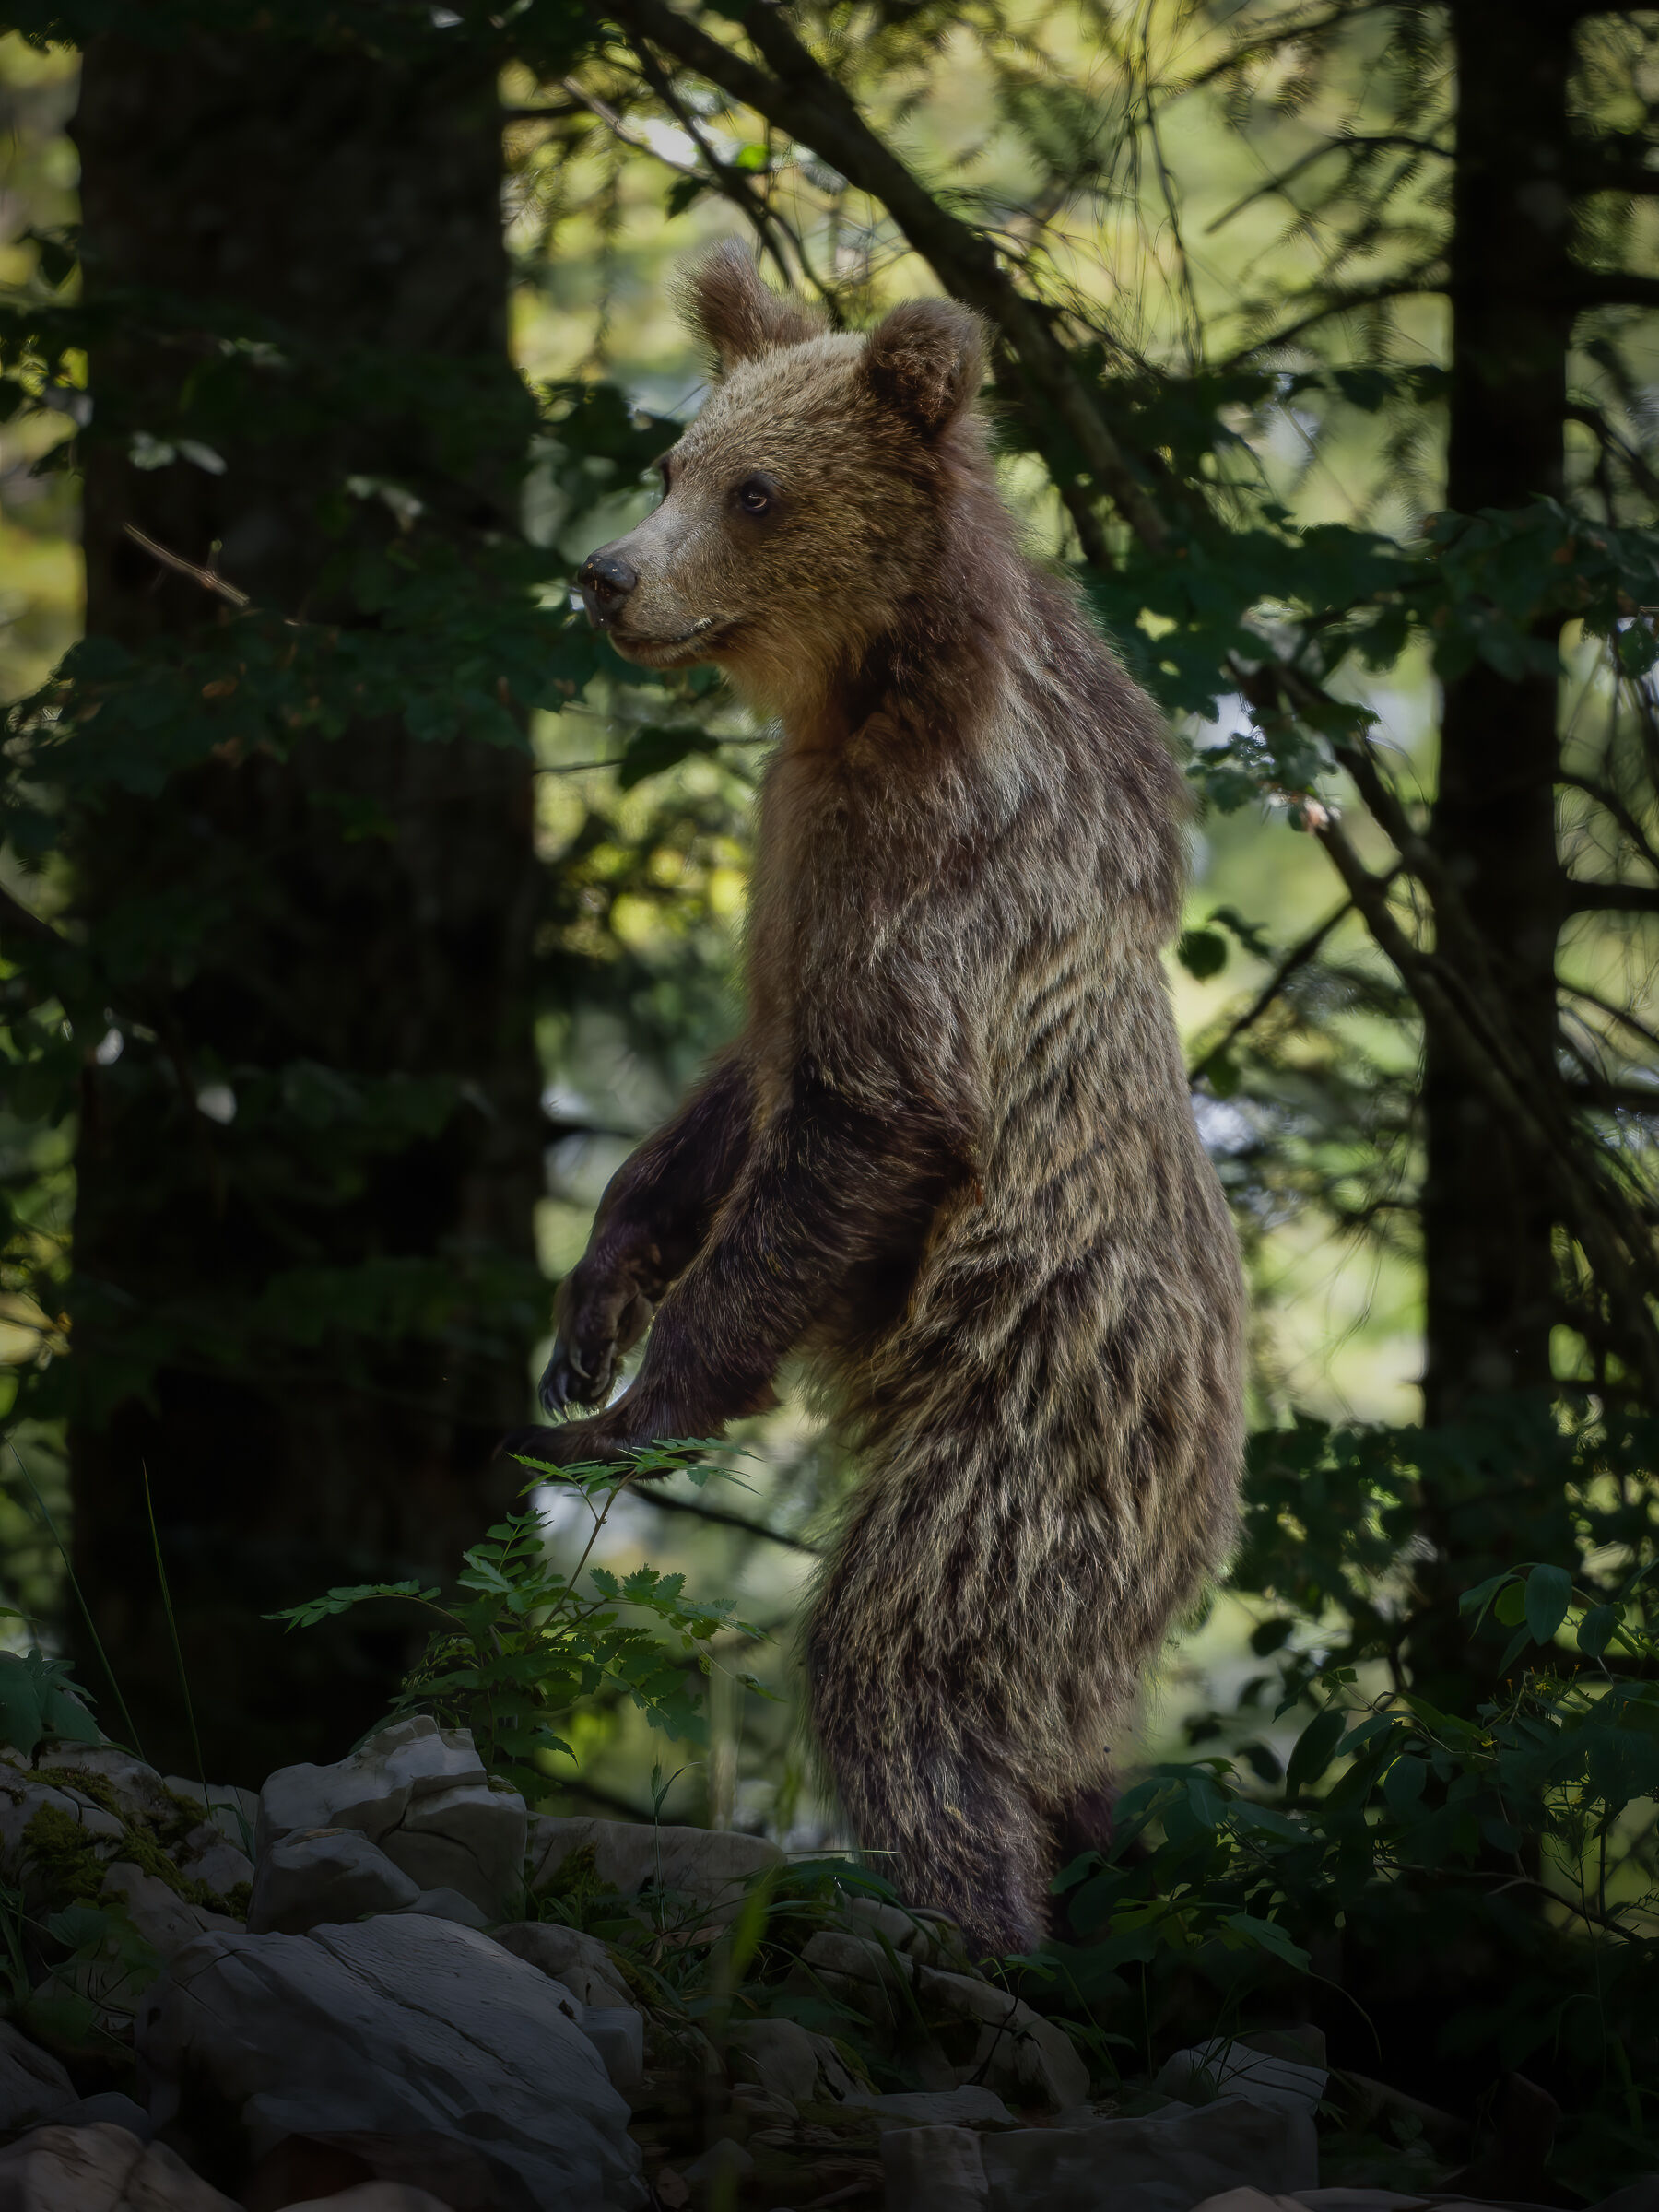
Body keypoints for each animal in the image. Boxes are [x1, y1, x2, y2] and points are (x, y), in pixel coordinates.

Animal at [503, 243, 1245, 1957]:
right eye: (675, 459)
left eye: (758, 489)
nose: (606, 577)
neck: (866, 697)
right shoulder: (796, 882)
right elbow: (733, 1098)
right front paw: (591, 1319)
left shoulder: (930, 876)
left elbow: (870, 1123)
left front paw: (633, 1415)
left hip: (1033, 1411)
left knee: (919, 1648)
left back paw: (962, 1912)